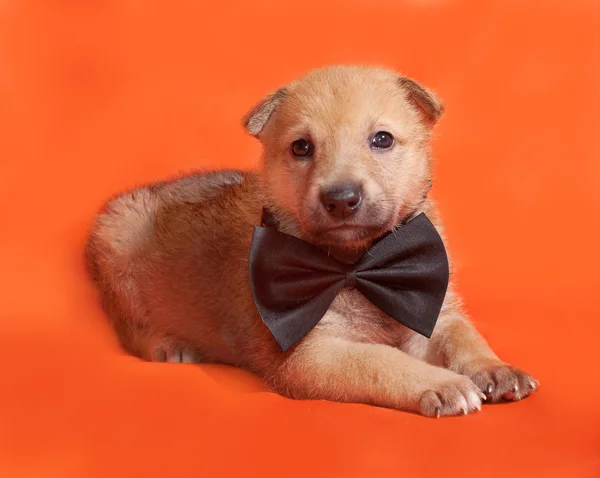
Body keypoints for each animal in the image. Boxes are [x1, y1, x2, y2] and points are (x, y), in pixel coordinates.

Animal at [85, 65, 540, 416]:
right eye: (301, 147)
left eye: (382, 139)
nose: (341, 198)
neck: (359, 265)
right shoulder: (312, 354)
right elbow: (379, 361)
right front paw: (442, 383)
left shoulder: (435, 308)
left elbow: (463, 335)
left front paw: (493, 367)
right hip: (120, 259)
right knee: (131, 330)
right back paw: (168, 345)